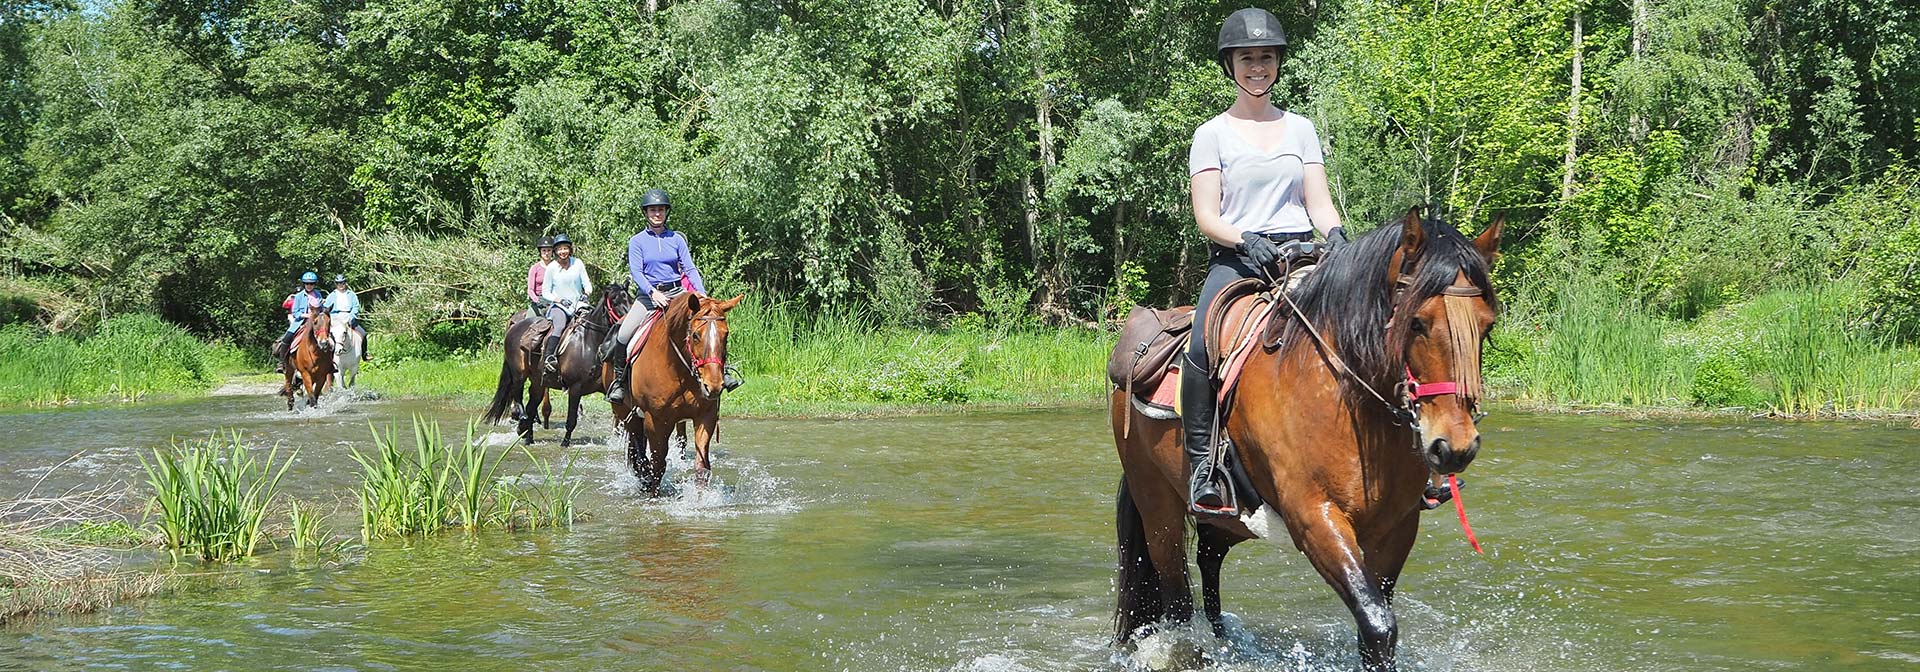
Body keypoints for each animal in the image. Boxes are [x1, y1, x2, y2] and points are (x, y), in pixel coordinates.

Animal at [483, 284, 633, 445]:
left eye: (630, 299)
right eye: (614, 302)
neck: (589, 341)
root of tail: (514, 327)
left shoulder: (608, 388)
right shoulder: (575, 388)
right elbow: (571, 420)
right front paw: (565, 444)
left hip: (538, 383)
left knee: (531, 407)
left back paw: (528, 437)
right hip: (519, 373)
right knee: (518, 394)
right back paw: (521, 419)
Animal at [606, 291, 741, 495]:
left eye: (726, 335)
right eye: (695, 335)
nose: (713, 386)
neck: (679, 370)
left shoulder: (706, 416)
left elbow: (702, 468)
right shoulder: (656, 420)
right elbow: (657, 466)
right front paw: (653, 496)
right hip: (625, 412)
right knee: (638, 453)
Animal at [1113, 211, 1497, 672]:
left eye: (1487, 325)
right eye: (1417, 321)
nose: (1455, 446)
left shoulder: (1397, 528)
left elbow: (1375, 626)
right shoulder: (1315, 517)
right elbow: (1378, 623)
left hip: (1232, 519)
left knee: (1209, 558)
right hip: (1158, 508)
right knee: (1177, 600)